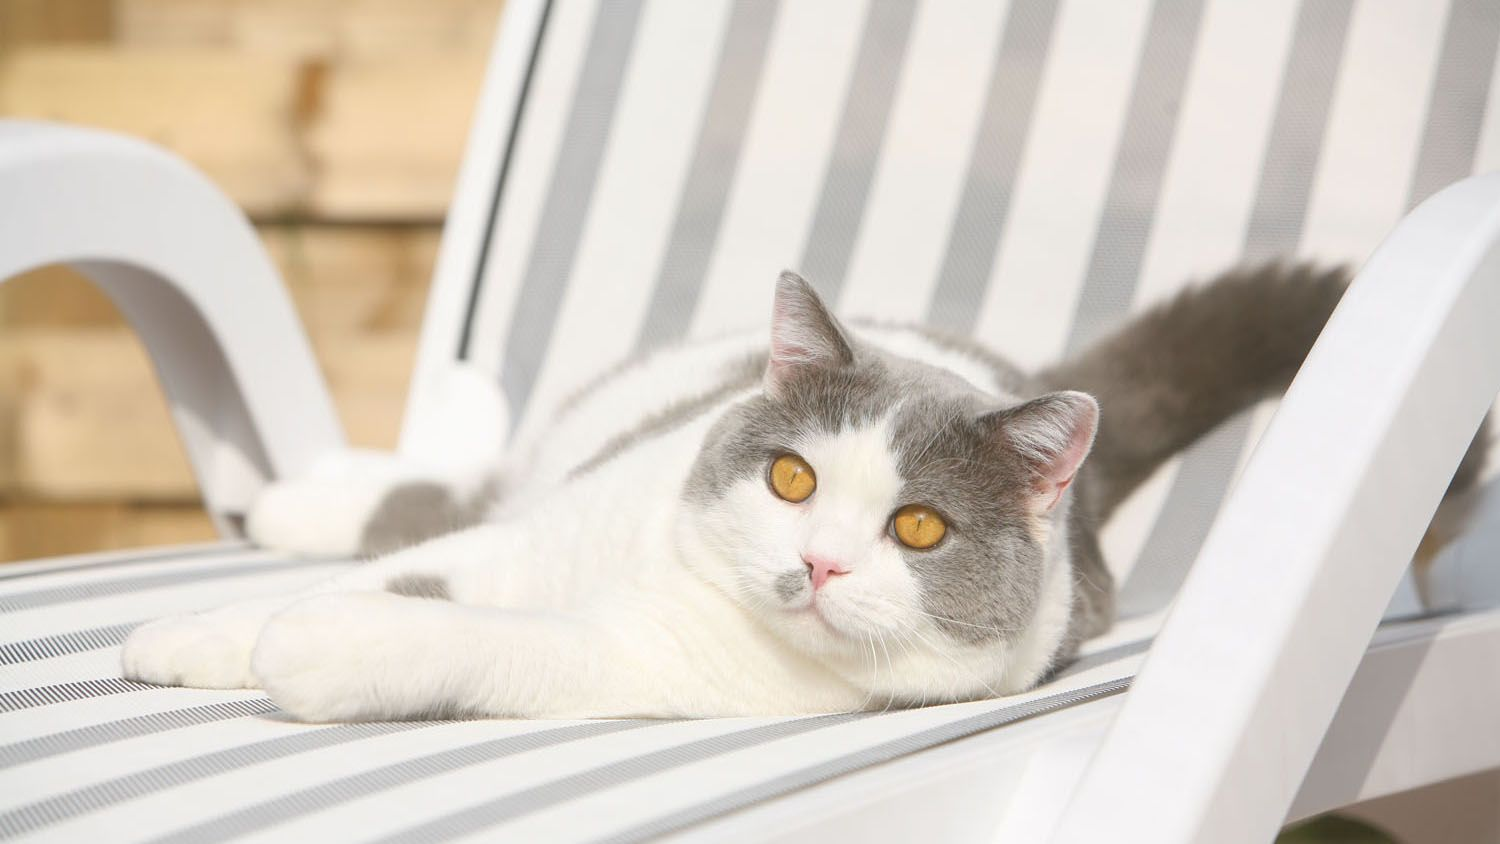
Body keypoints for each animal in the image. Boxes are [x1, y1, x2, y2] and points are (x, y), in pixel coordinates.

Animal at [120, 263, 1488, 719]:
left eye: (919, 527)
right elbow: (427, 564)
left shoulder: (631, 660)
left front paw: (321, 646)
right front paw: (189, 637)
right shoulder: (537, 542)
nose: (821, 560)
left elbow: (466, 635)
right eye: (791, 477)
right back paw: (296, 499)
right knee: (450, 495)